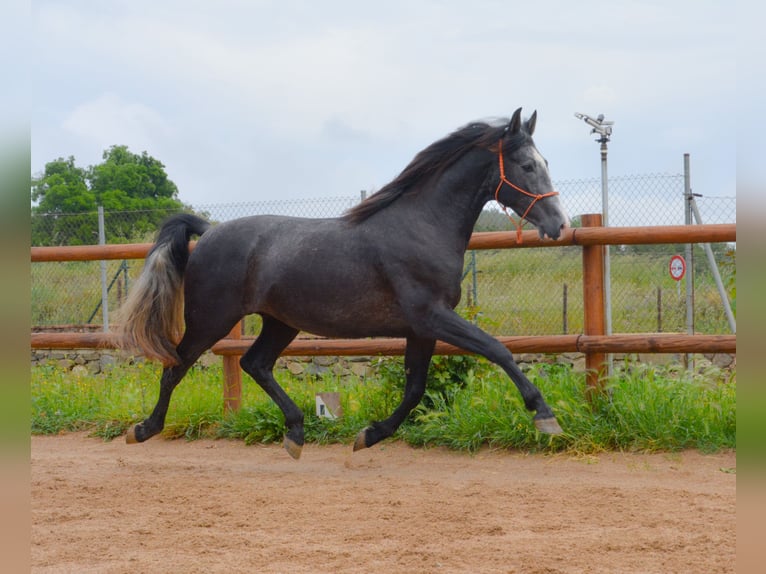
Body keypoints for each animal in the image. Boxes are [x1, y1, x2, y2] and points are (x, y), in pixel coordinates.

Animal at [117, 107, 570, 459]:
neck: (422, 227)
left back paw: (296, 433)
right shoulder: (433, 316)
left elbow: (415, 388)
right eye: (528, 165)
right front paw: (546, 417)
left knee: (254, 363)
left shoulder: (421, 328)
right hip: (211, 318)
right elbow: (498, 350)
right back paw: (143, 429)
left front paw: (368, 436)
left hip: (280, 322)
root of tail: (209, 231)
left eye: (547, 162)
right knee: (176, 366)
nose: (559, 226)